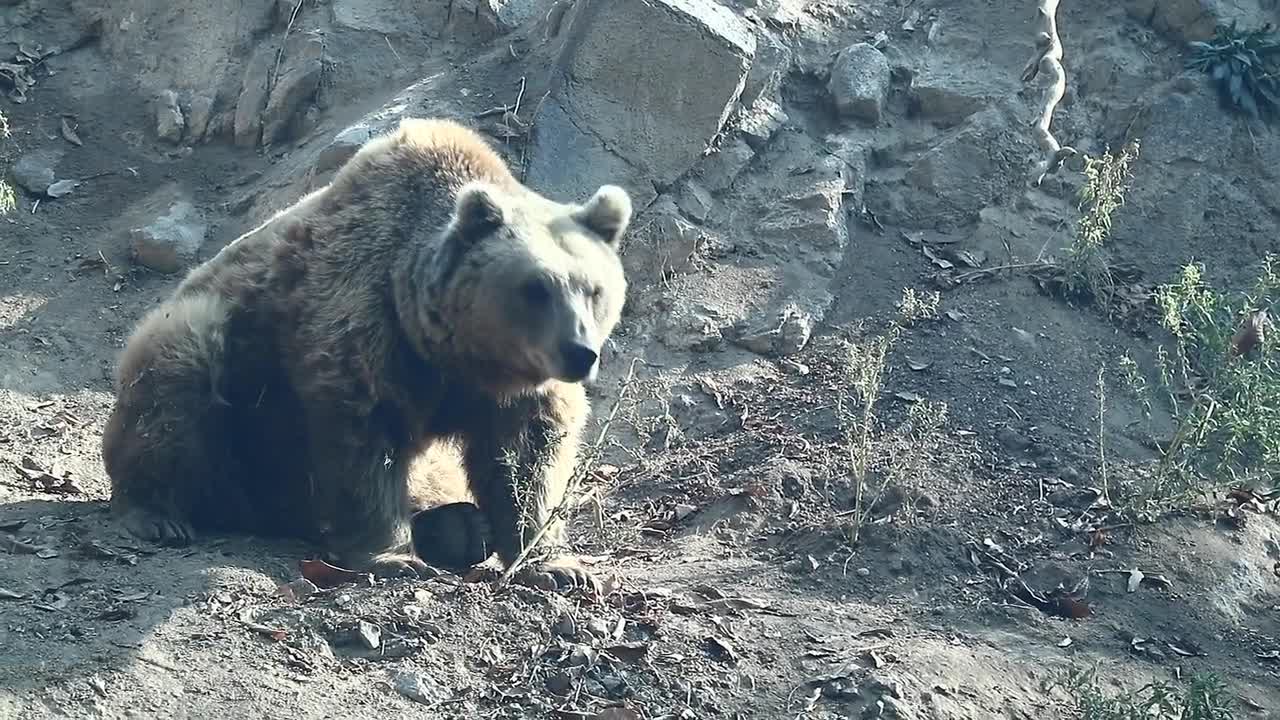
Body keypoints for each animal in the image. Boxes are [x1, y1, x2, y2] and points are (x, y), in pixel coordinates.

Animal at [102, 117, 632, 586]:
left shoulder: (512, 388)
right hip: (226, 388)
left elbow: (527, 455)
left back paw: (459, 526)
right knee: (175, 377)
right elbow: (364, 440)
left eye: (594, 289)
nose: (580, 352)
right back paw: (157, 513)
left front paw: (555, 564)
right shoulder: (362, 321)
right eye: (535, 288)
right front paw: (393, 557)